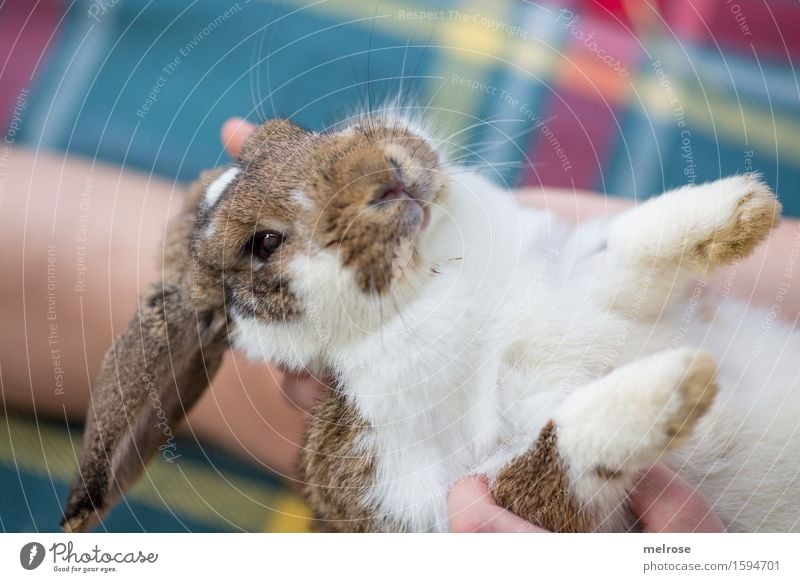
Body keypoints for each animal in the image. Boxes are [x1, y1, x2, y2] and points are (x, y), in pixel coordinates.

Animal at [59, 113, 796, 532]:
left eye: (285, 133)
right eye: (263, 245)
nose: (382, 171)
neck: (426, 288)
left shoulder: (582, 278)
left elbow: (633, 247)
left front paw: (743, 207)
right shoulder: (445, 496)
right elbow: (556, 454)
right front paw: (675, 388)